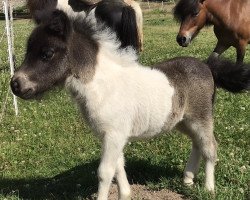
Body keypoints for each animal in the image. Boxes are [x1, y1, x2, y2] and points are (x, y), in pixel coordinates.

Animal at [10, 9, 250, 200]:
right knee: (197, 144)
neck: (102, 85)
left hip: (201, 117)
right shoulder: (111, 135)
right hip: (183, 121)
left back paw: (208, 188)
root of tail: (207, 65)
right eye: (28, 51)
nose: (15, 84)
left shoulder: (114, 134)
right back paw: (188, 180)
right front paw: (125, 194)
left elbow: (105, 172)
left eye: (47, 53)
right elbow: (118, 166)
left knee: (210, 147)